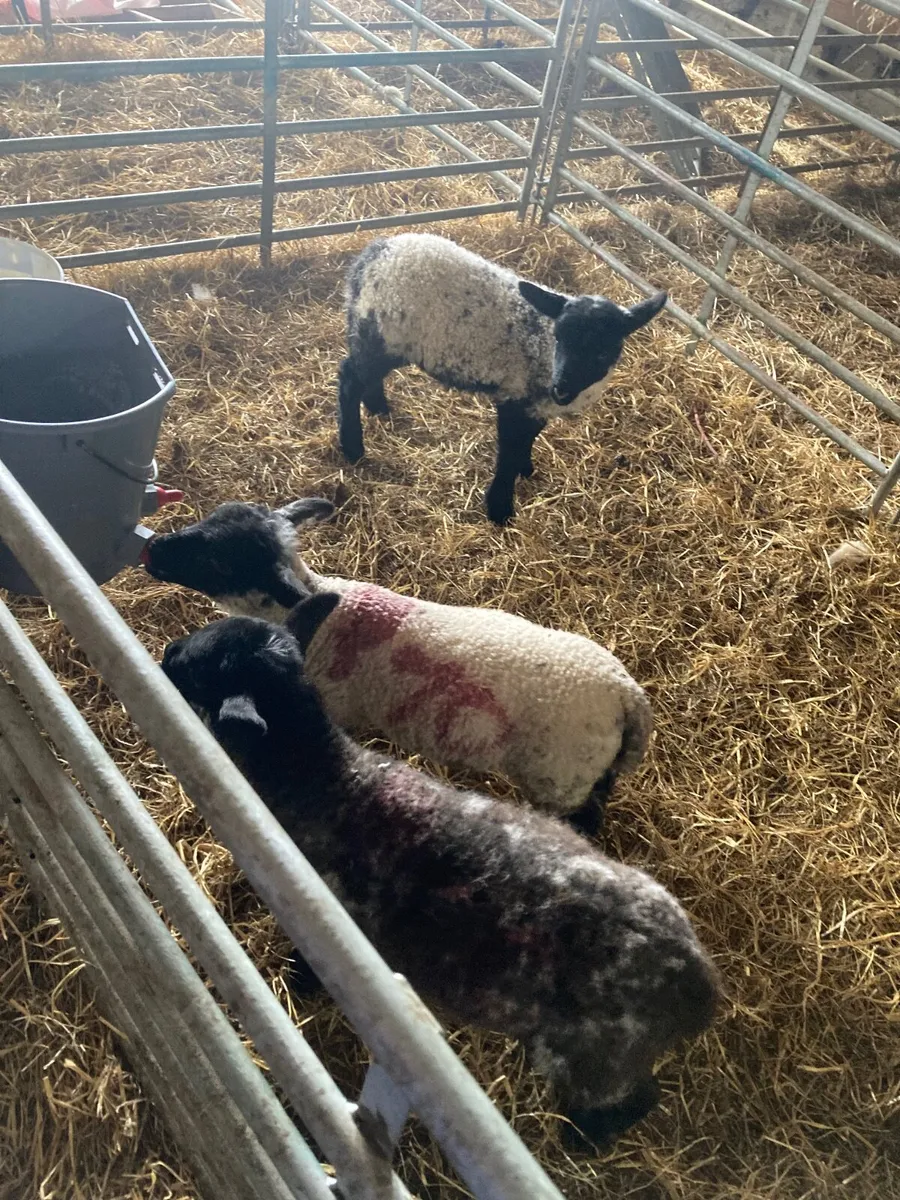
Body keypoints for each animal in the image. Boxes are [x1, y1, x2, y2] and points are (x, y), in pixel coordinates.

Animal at [142, 497, 654, 837]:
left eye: (219, 561)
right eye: (208, 518)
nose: (155, 549)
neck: (326, 618)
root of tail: (627, 695)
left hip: (561, 778)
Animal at [161, 602, 718, 1151]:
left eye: (203, 667)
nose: (166, 653)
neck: (325, 782)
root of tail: (697, 979)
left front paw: (299, 985)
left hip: (593, 1058)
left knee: (636, 1098)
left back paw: (582, 1140)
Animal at [337, 233, 667, 524]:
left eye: (604, 351)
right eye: (559, 337)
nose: (561, 389)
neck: (543, 350)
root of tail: (373, 254)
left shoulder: (537, 405)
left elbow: (529, 439)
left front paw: (526, 468)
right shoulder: (515, 397)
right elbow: (508, 453)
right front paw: (500, 509)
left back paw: (378, 408)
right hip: (382, 333)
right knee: (350, 377)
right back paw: (353, 447)